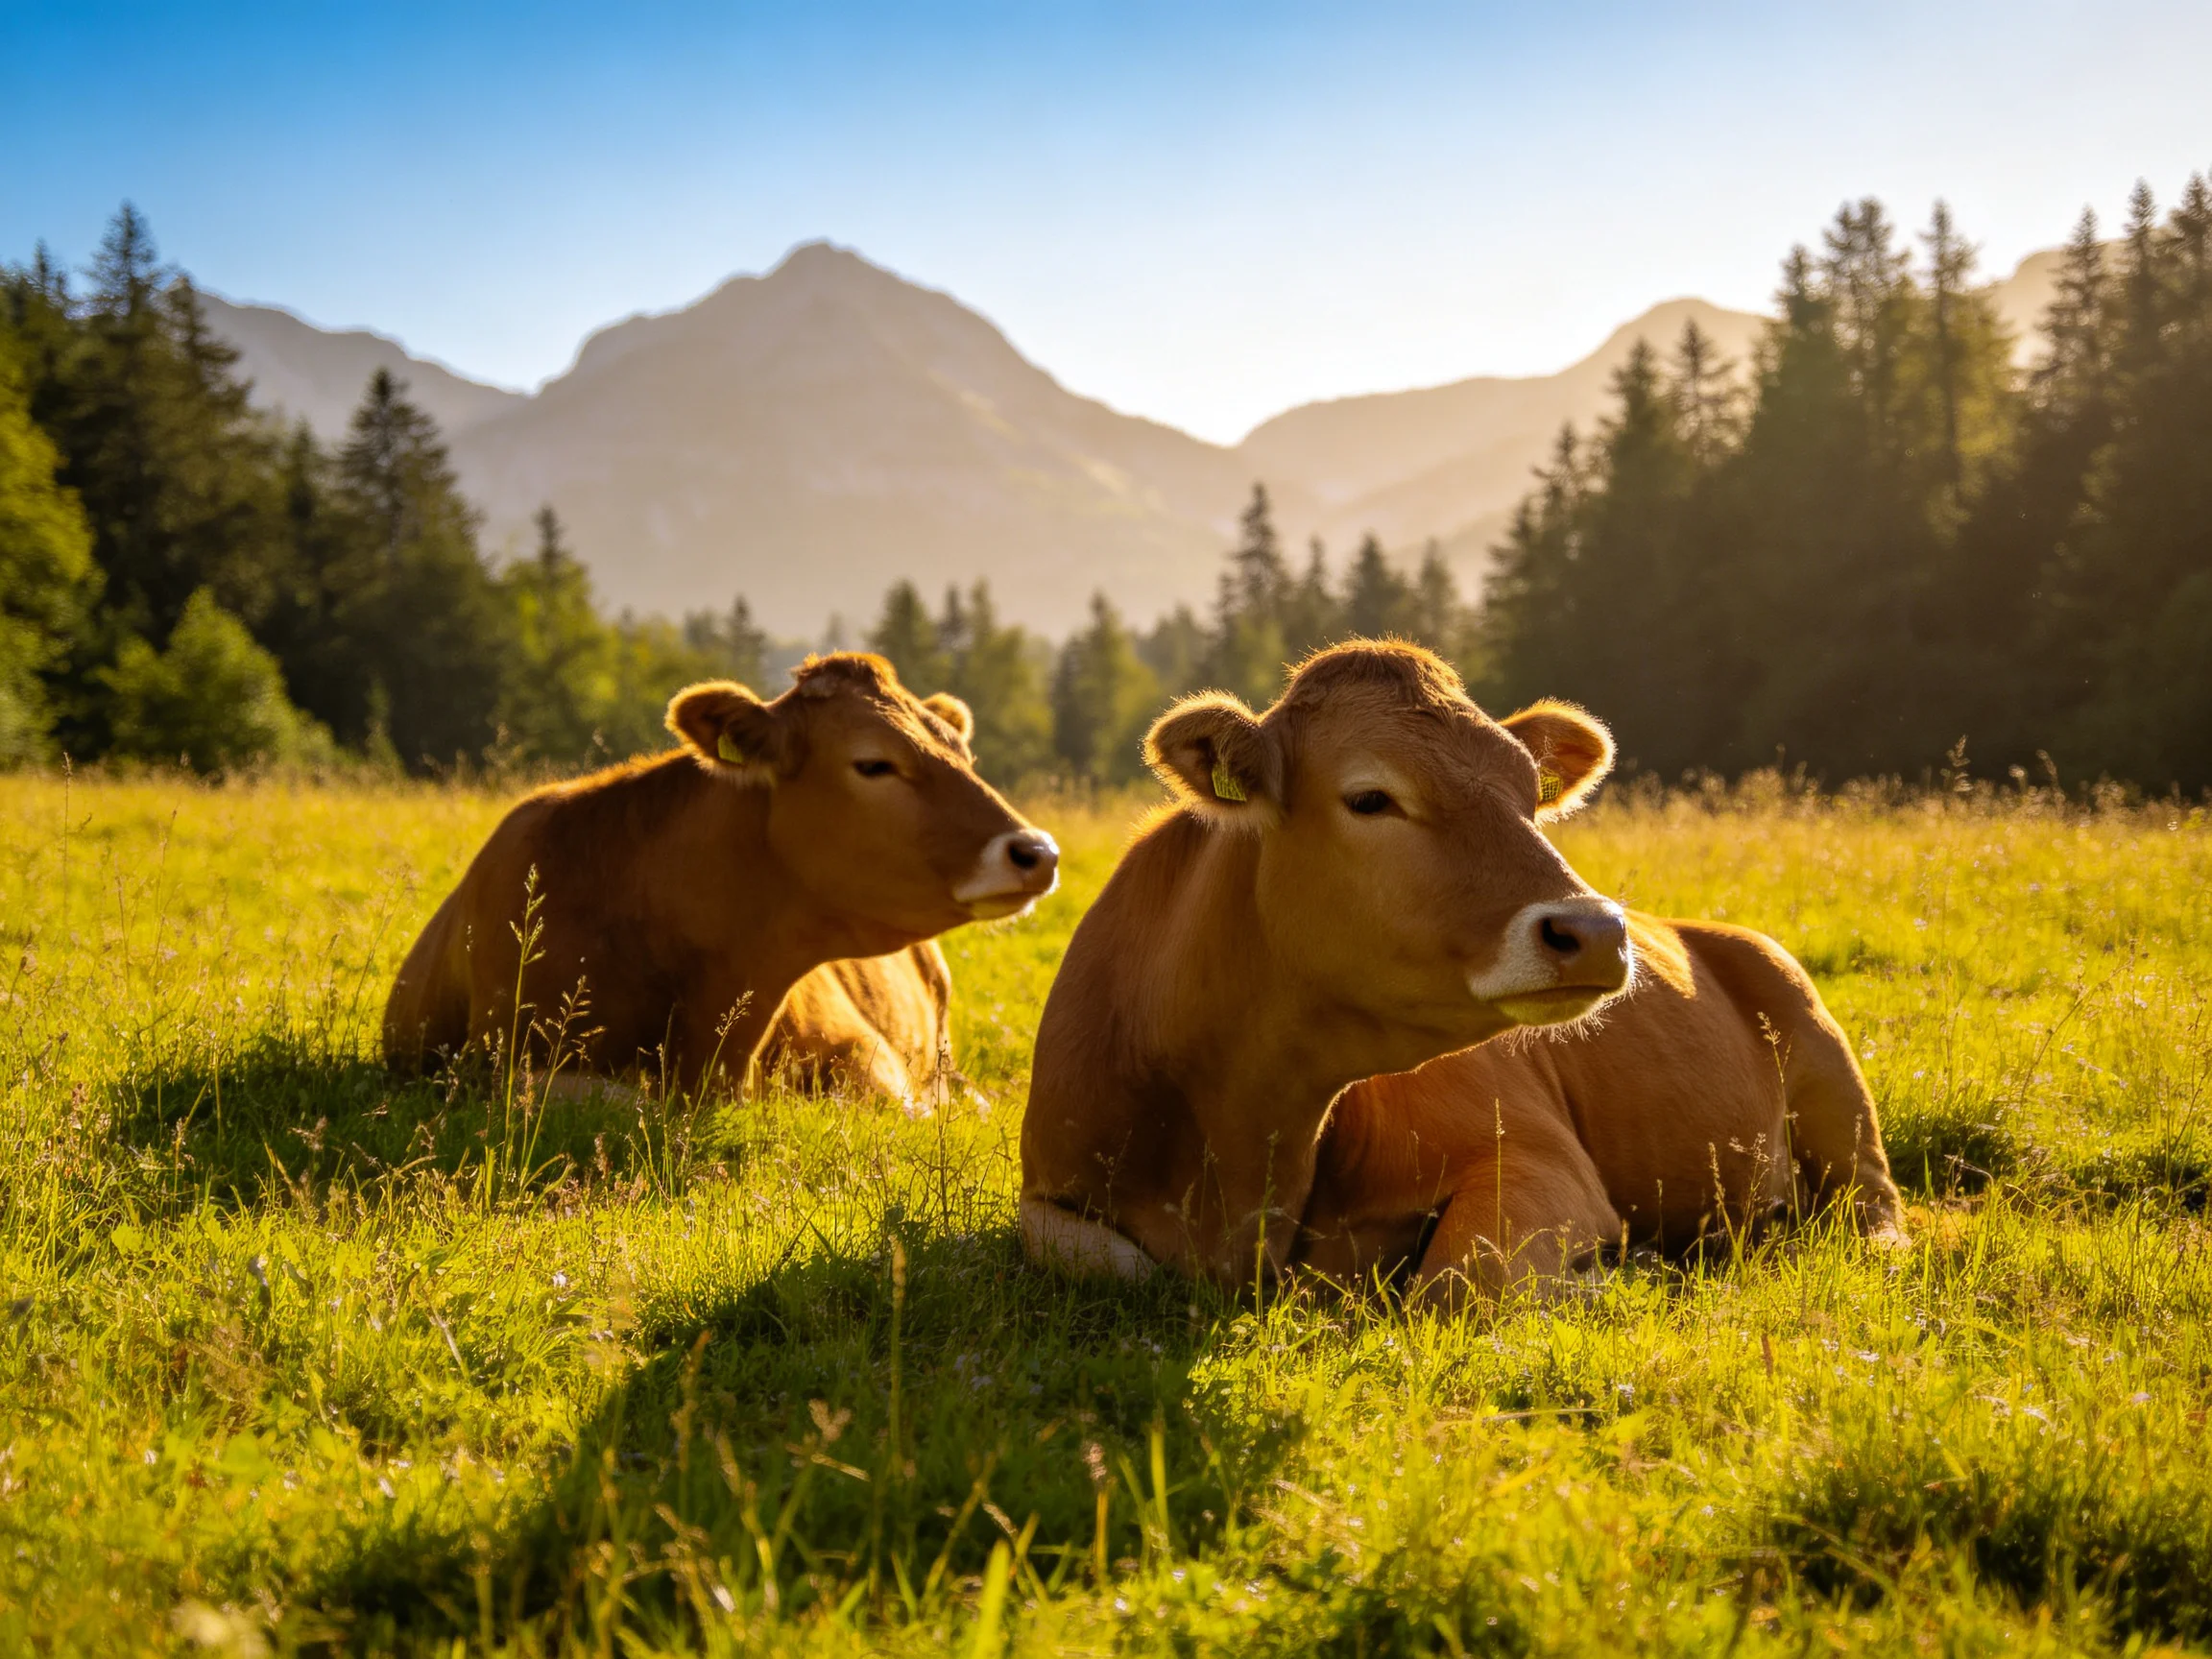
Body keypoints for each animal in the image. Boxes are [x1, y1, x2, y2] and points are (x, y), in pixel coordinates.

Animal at [1019, 641, 1634, 1286]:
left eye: (1531, 794)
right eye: (1369, 799)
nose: (1594, 930)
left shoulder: (1536, 1157)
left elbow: (1455, 1277)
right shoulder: (1048, 1187)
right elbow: (1109, 1260)